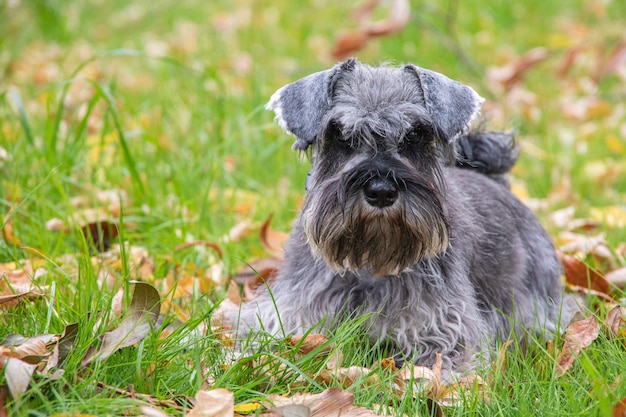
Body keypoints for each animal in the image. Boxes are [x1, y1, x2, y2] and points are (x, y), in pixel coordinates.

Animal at [228, 59, 572, 370]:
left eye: (415, 135)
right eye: (341, 136)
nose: (381, 191)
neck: (370, 265)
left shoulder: (445, 335)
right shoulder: (288, 315)